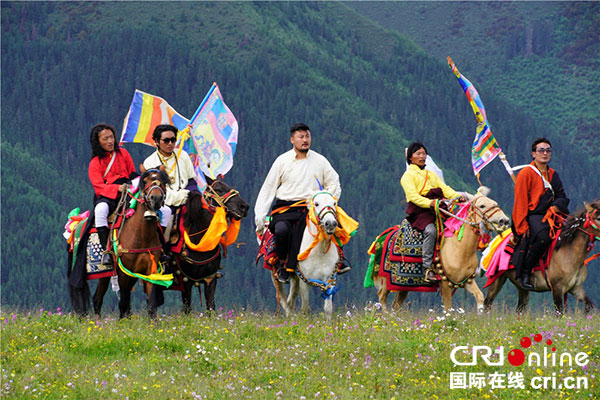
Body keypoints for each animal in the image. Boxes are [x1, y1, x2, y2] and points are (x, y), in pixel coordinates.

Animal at [92, 169, 171, 318]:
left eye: (163, 181)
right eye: (144, 181)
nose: (156, 198)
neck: (142, 236)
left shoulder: (150, 270)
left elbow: (151, 306)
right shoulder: (124, 273)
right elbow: (123, 304)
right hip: (104, 273)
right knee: (98, 299)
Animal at [372, 188, 508, 312]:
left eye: (495, 203)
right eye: (482, 205)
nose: (504, 220)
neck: (460, 249)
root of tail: (387, 234)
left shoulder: (467, 280)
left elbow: (480, 297)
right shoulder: (445, 282)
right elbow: (448, 308)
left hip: (403, 284)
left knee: (396, 304)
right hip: (387, 280)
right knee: (382, 297)